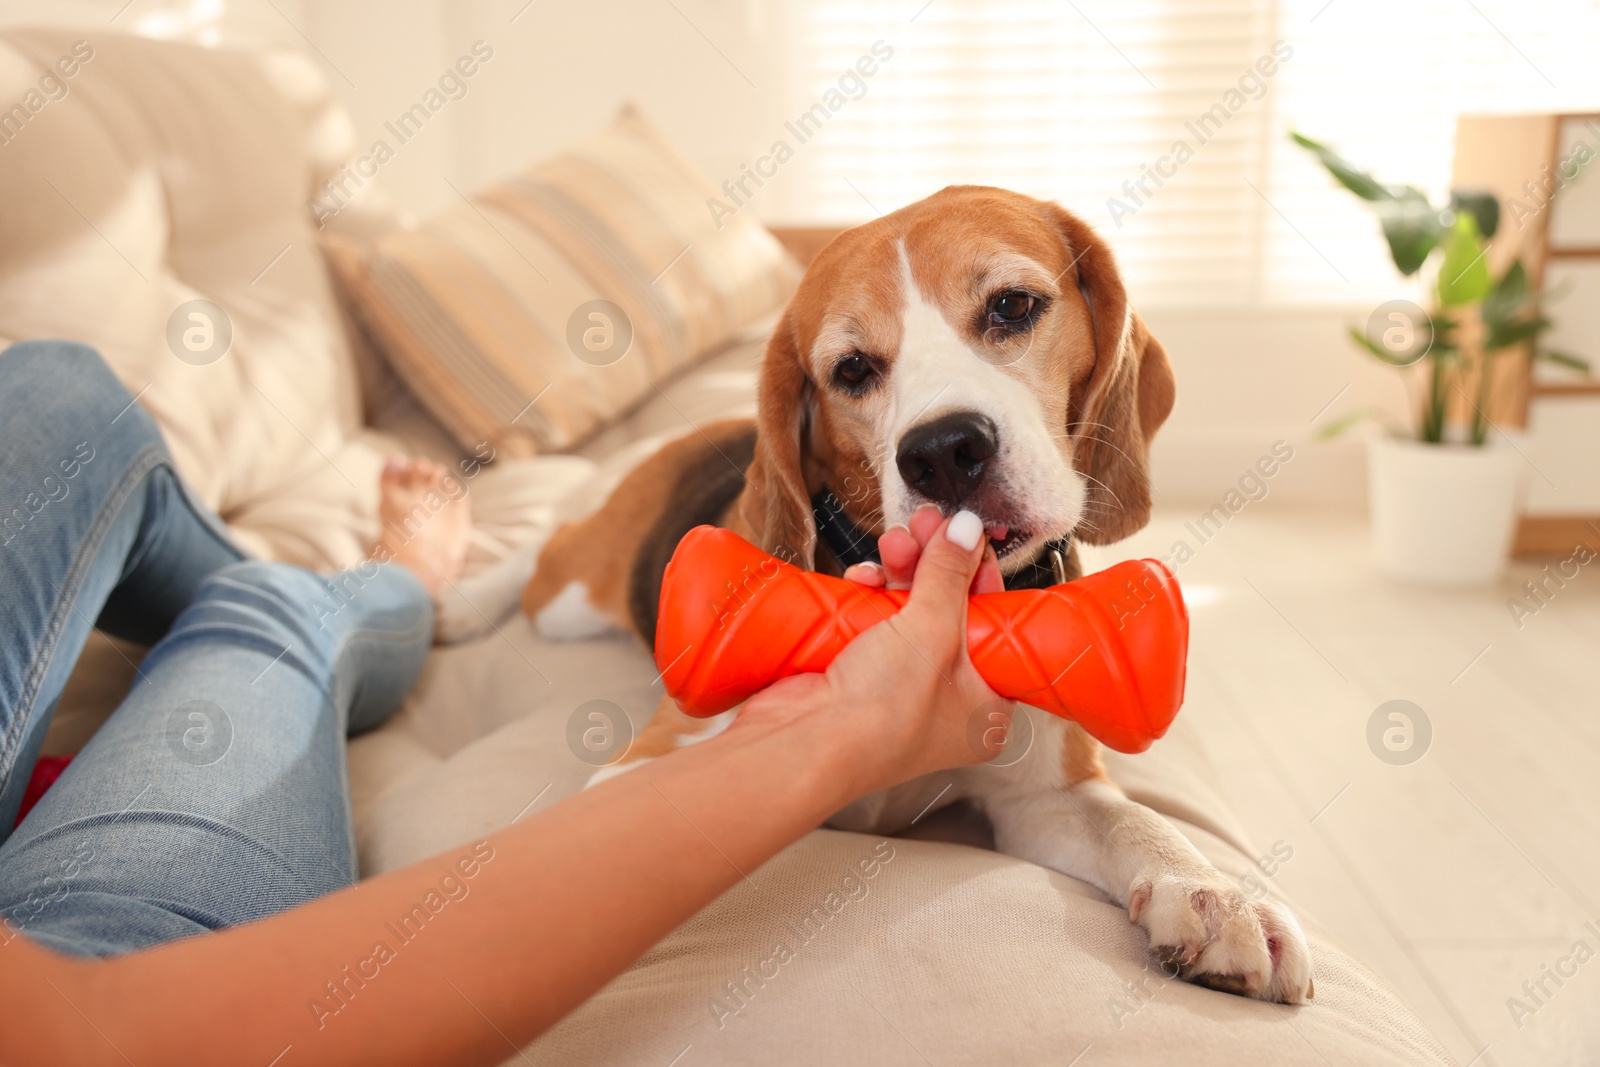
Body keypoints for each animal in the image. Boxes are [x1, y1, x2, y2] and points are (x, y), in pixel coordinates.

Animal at [512, 185, 1312, 1004]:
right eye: (852, 368)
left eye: (1012, 306)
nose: (944, 452)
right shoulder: (643, 773)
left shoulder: (1043, 798)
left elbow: (1138, 822)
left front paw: (1214, 894)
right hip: (567, 599)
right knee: (545, 548)